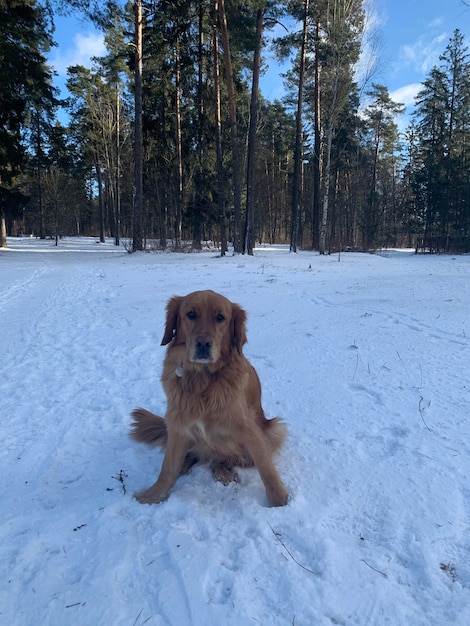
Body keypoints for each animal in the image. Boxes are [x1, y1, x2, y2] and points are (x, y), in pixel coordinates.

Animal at [130, 288, 288, 502]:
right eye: (191, 314)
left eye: (220, 318)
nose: (203, 343)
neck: (201, 377)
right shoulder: (178, 423)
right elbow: (167, 467)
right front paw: (151, 497)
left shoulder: (248, 429)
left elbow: (266, 467)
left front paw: (280, 501)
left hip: (273, 431)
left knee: (222, 458)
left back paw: (224, 473)